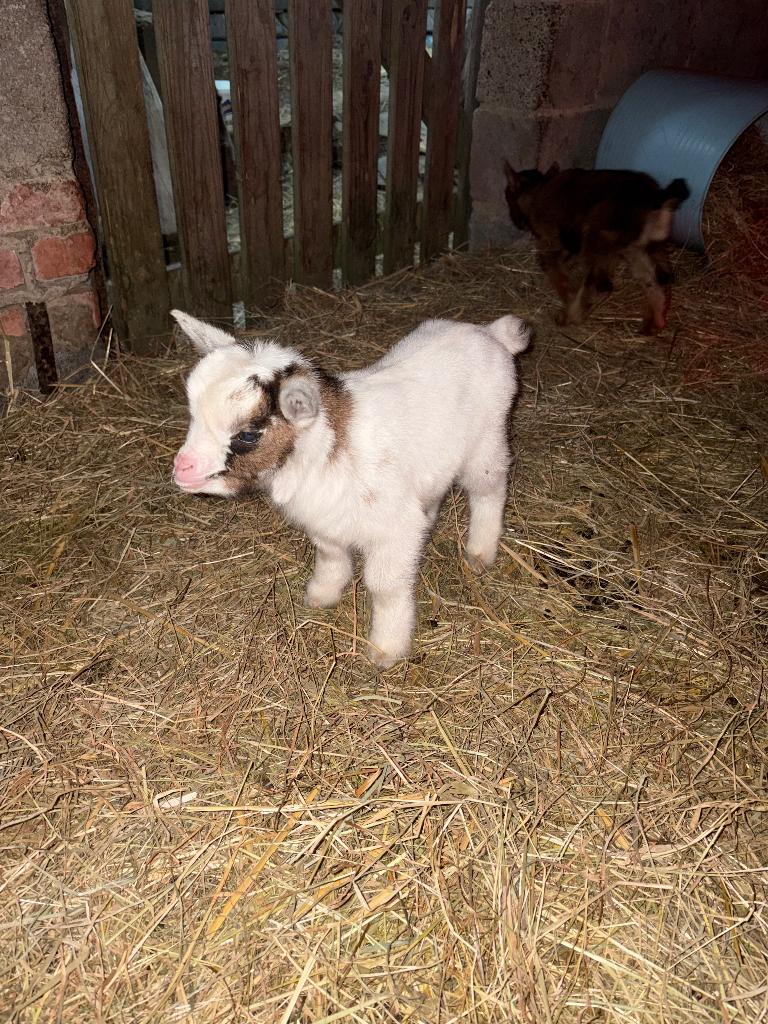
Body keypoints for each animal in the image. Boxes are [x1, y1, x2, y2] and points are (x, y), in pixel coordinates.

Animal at [172, 311, 529, 668]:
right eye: (193, 416)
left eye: (247, 434)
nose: (182, 467)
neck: (323, 449)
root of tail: (491, 333)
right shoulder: (325, 519)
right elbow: (331, 554)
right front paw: (322, 594)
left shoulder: (391, 531)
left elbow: (385, 588)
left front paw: (387, 647)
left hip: (486, 442)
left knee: (489, 490)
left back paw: (480, 552)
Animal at [504, 163, 690, 334]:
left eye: (507, 196)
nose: (516, 223)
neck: (539, 188)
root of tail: (655, 198)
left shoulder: (554, 244)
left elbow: (557, 274)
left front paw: (568, 297)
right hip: (641, 248)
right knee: (659, 280)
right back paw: (654, 324)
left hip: (596, 240)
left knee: (602, 287)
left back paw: (571, 317)